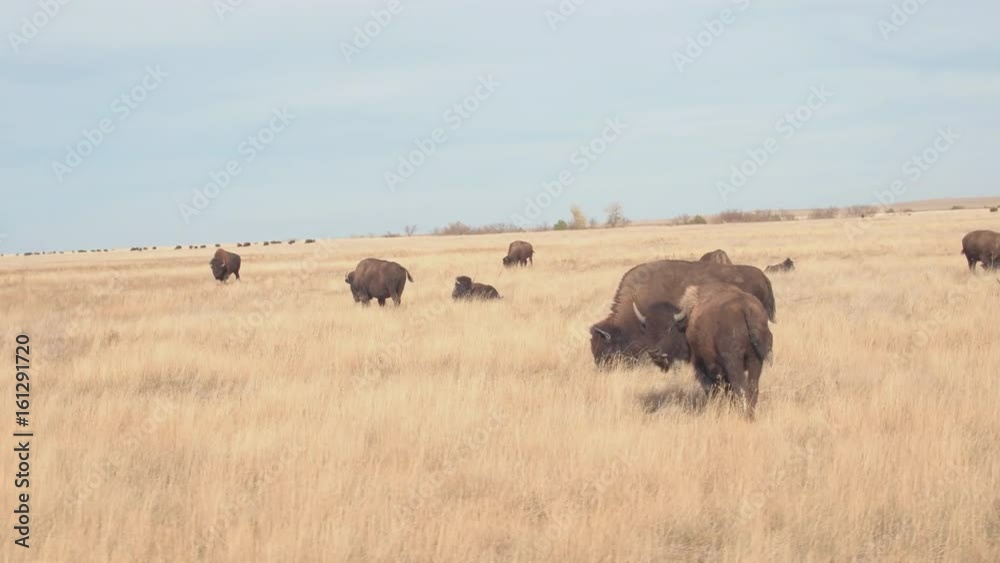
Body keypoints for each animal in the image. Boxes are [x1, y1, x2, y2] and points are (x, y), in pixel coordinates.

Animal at [633, 283, 772, 419]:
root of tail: (745, 308)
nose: (653, 352)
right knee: (752, 387)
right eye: (647, 330)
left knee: (740, 387)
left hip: (734, 363)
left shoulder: (702, 365)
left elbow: (712, 389)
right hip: (755, 360)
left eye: (669, 329)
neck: (687, 323)